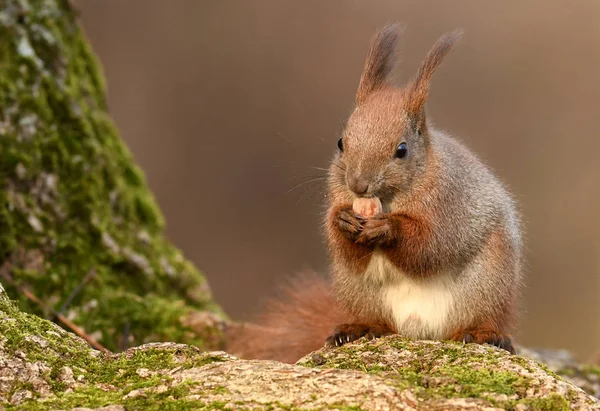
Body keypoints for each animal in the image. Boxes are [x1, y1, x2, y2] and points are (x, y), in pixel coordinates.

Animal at [225, 23, 520, 364]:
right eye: (341, 142)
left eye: (401, 150)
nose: (358, 185)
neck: (389, 198)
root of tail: (419, 331)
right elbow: (345, 247)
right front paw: (342, 221)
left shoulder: (450, 204)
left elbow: (432, 245)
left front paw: (388, 228)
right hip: (358, 291)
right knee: (379, 322)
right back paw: (359, 329)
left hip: (486, 286)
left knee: (480, 319)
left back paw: (483, 334)